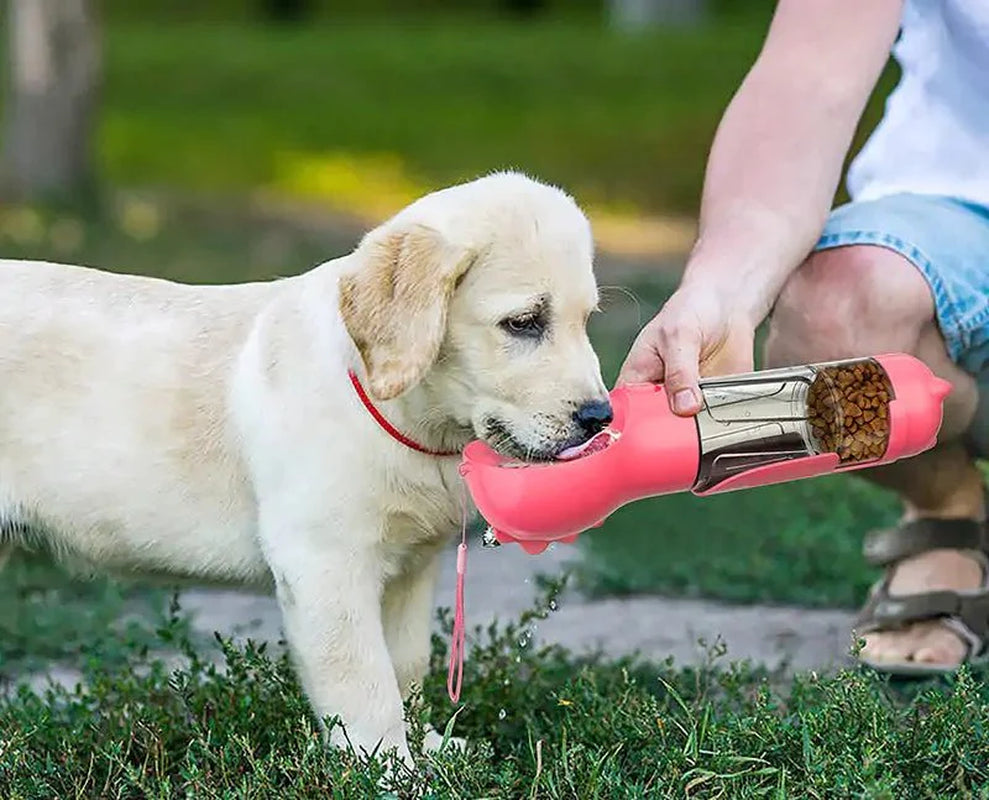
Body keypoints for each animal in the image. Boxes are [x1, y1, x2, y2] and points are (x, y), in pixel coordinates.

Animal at [0, 173, 608, 764]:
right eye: (523, 323)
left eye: (586, 321)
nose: (600, 418)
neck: (406, 417)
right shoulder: (325, 563)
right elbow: (365, 682)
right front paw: (391, 768)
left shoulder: (411, 568)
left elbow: (406, 667)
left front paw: (428, 748)